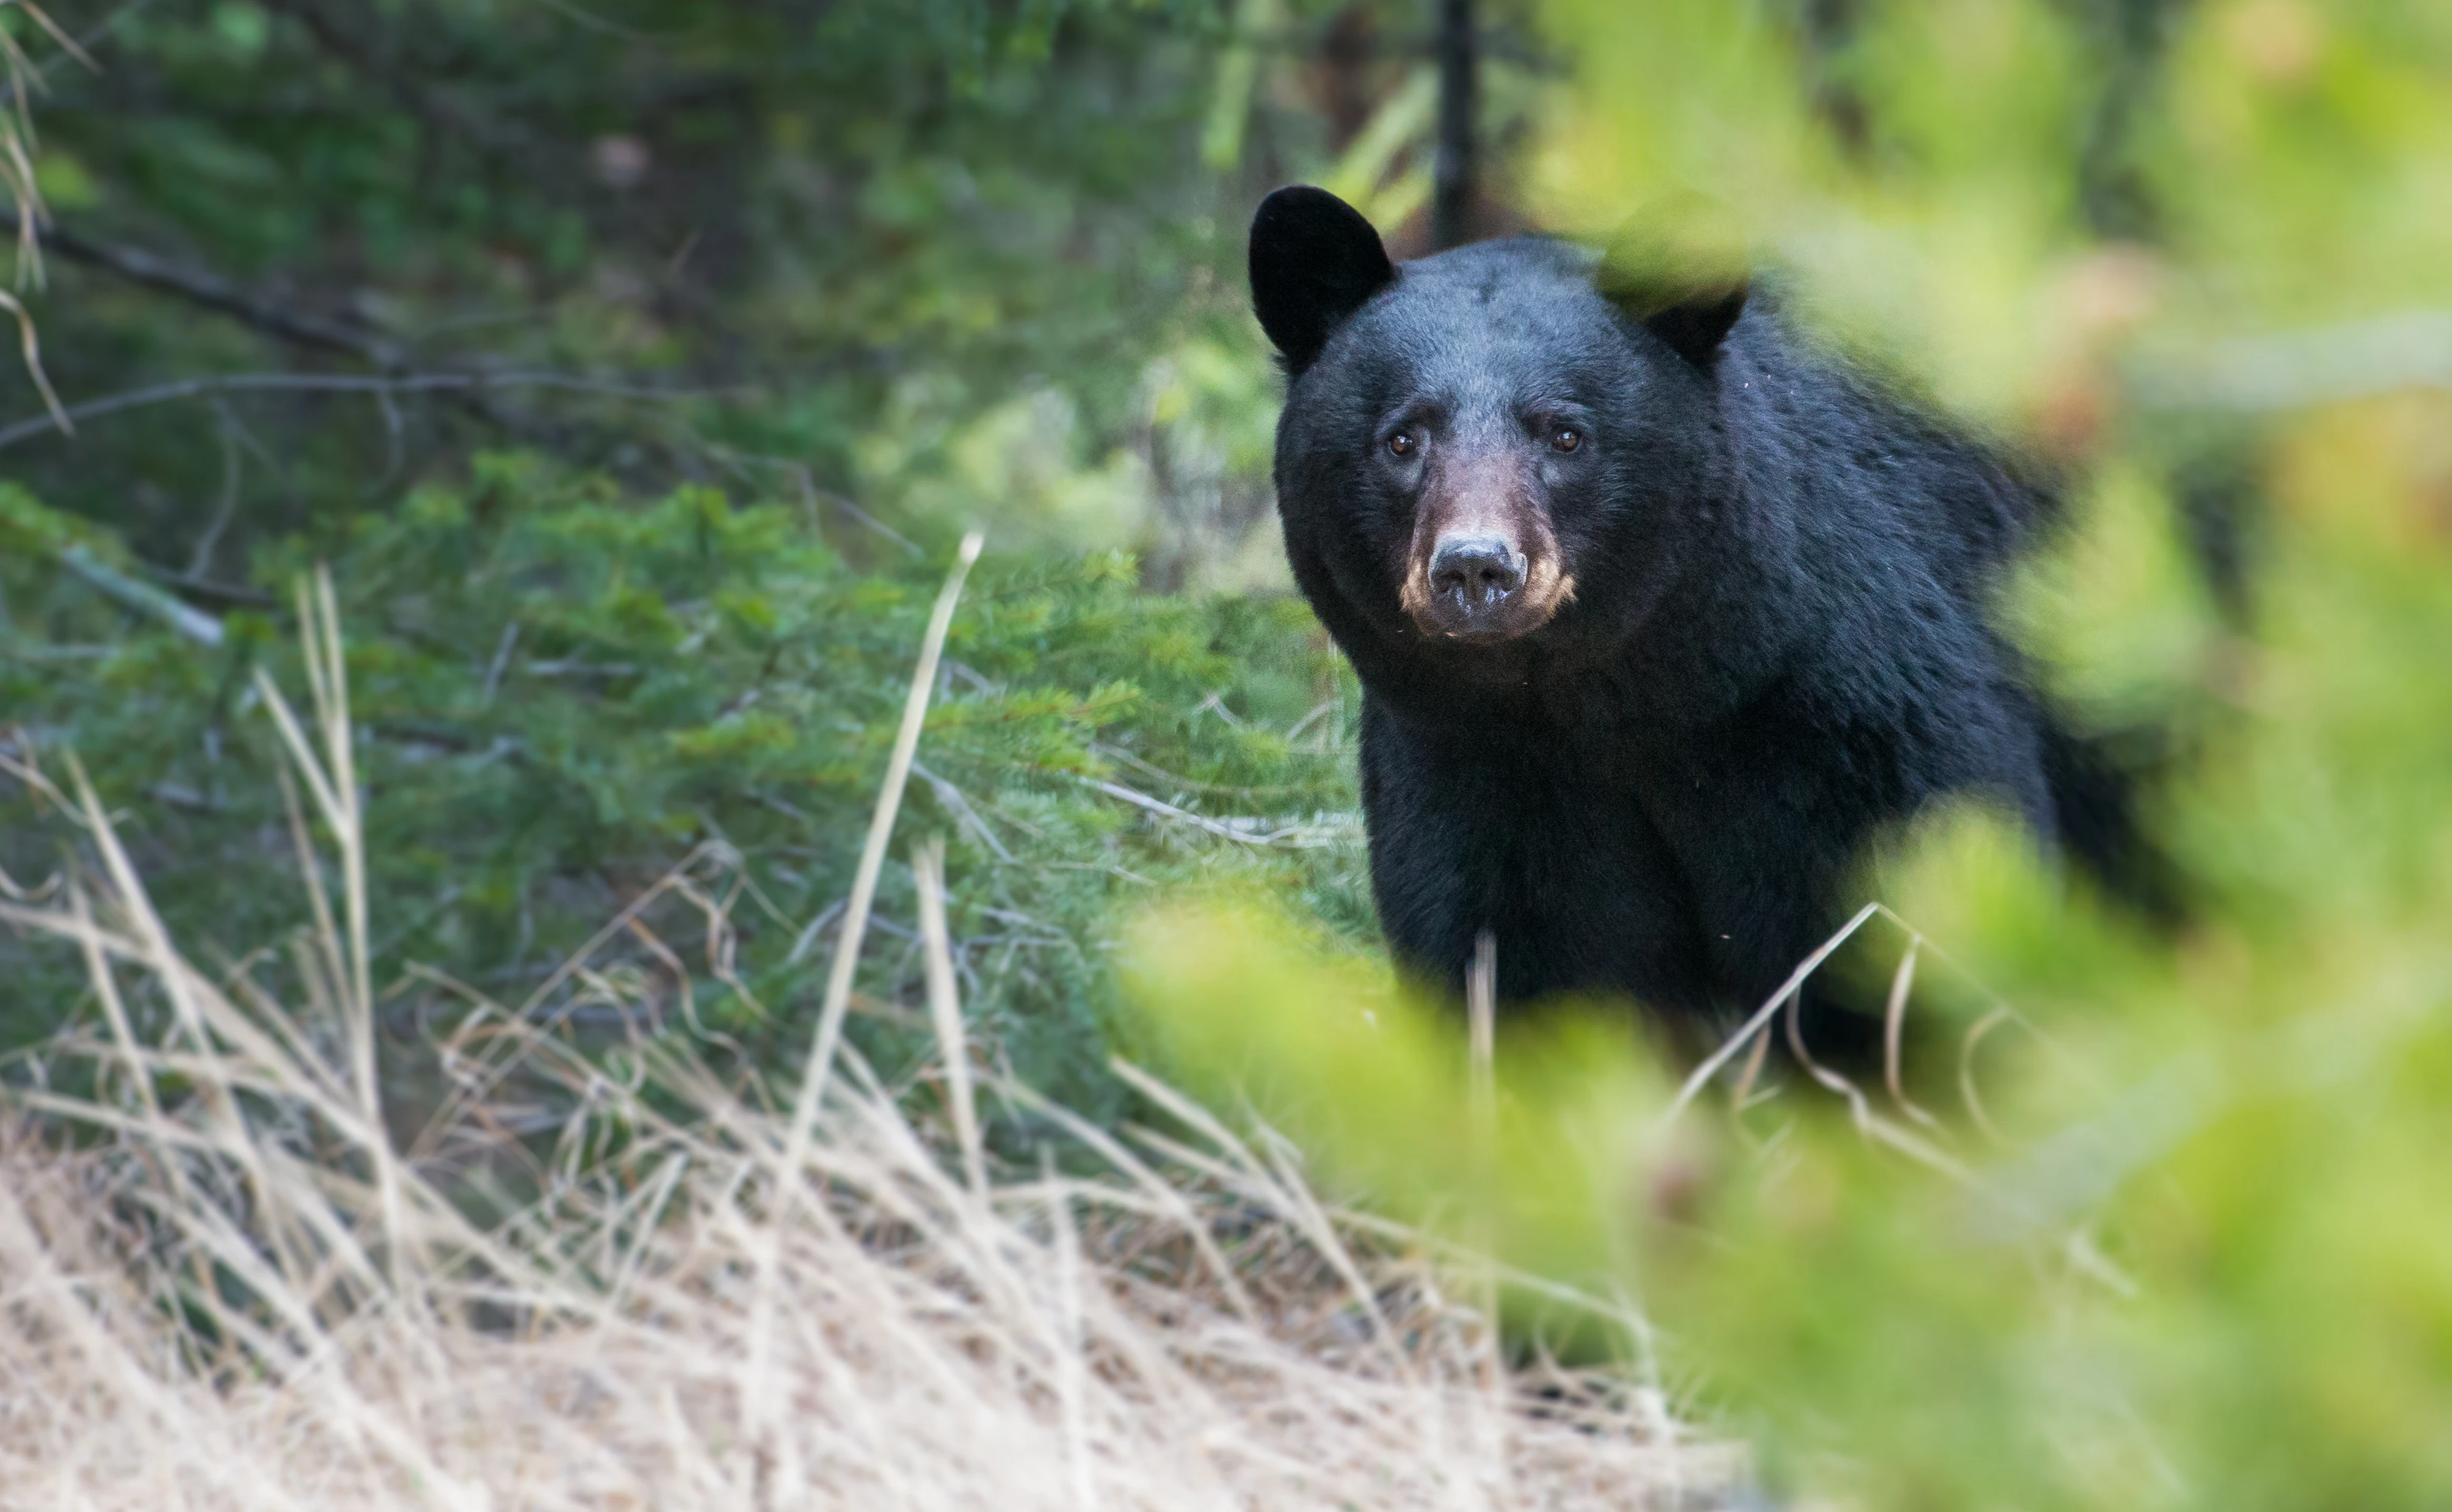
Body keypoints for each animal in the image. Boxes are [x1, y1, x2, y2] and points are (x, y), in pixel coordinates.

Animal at [1255, 188, 2099, 1053]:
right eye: (1402, 439)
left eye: (1566, 433)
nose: (1475, 567)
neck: (1628, 702)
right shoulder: (1475, 763)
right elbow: (1525, 962)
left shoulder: (1853, 721)